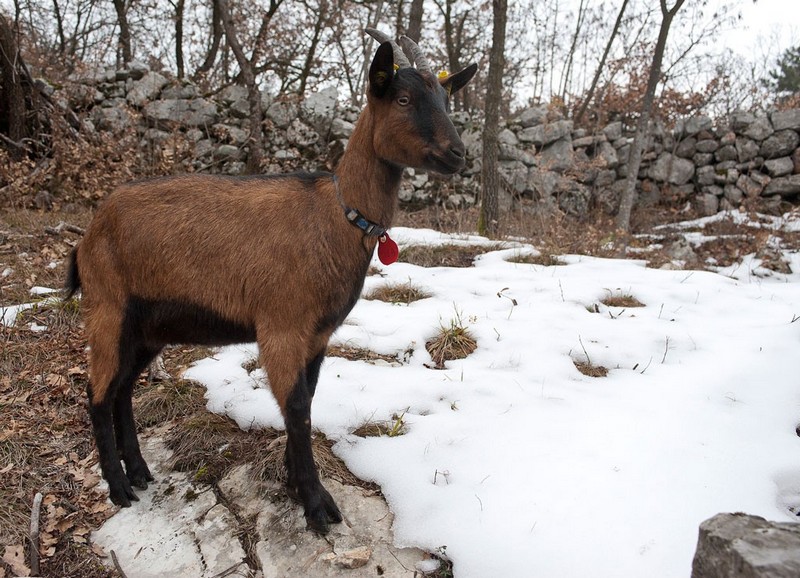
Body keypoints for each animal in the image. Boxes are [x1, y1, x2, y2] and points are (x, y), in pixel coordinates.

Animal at [65, 31, 477, 534]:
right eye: (402, 98)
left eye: (446, 98)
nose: (458, 153)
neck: (335, 216)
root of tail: (88, 234)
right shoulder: (281, 325)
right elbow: (296, 408)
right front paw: (316, 505)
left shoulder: (317, 335)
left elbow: (307, 400)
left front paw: (295, 482)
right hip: (108, 307)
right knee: (97, 392)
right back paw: (119, 487)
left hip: (148, 327)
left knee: (122, 388)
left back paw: (140, 472)